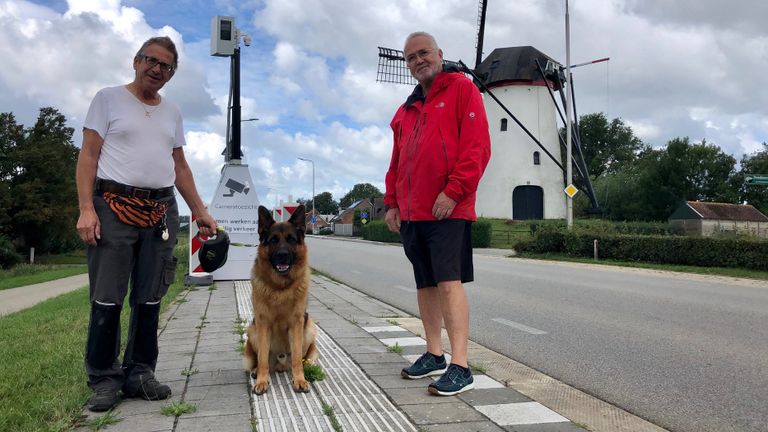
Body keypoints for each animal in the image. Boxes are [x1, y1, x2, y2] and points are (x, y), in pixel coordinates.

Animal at [244, 206, 320, 394]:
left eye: (291, 239)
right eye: (273, 240)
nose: (282, 255)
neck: (281, 288)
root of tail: (281, 362)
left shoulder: (296, 323)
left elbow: (297, 358)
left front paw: (299, 379)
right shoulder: (263, 324)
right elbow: (262, 358)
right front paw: (262, 381)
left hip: (309, 326)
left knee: (303, 357)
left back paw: (306, 366)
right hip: (253, 330)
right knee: (261, 358)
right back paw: (256, 370)